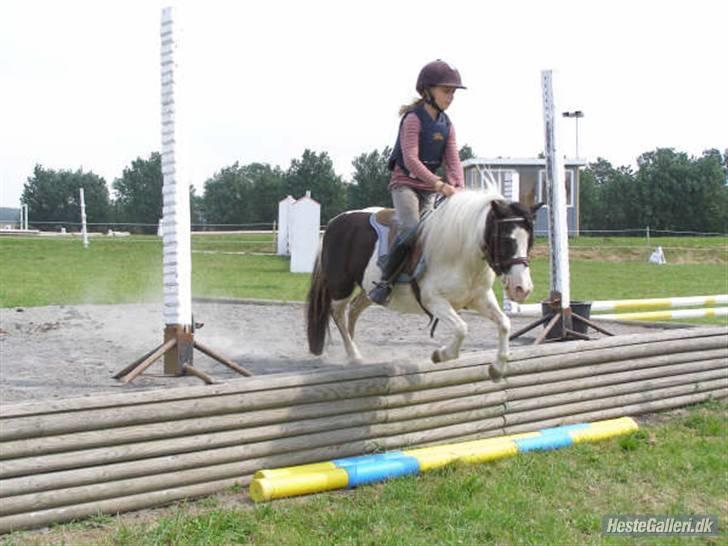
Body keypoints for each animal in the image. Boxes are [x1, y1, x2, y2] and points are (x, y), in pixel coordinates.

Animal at [306, 187, 540, 378]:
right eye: (506, 240)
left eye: (529, 241)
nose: (522, 289)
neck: (463, 253)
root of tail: (334, 223)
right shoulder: (434, 301)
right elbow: (461, 328)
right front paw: (441, 354)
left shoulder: (480, 298)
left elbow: (504, 323)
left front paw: (498, 368)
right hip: (341, 286)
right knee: (338, 313)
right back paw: (353, 355)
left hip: (369, 290)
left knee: (354, 310)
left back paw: (353, 352)